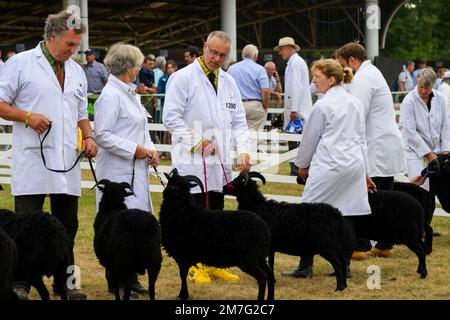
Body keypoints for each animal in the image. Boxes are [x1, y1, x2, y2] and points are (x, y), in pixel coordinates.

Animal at [162, 169, 274, 302]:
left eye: (176, 185)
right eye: (173, 181)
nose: (175, 170)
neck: (180, 210)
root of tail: (265, 229)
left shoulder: (182, 254)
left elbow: (182, 275)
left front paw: (183, 295)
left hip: (249, 260)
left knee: (262, 278)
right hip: (260, 258)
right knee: (271, 276)